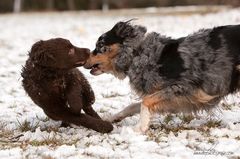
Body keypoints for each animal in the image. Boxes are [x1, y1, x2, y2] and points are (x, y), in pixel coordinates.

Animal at [22, 20, 240, 133]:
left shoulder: (186, 89)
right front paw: (114, 118)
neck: (138, 54)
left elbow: (145, 102)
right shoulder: (178, 98)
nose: (84, 59)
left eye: (100, 46)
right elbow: (134, 105)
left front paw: (139, 129)